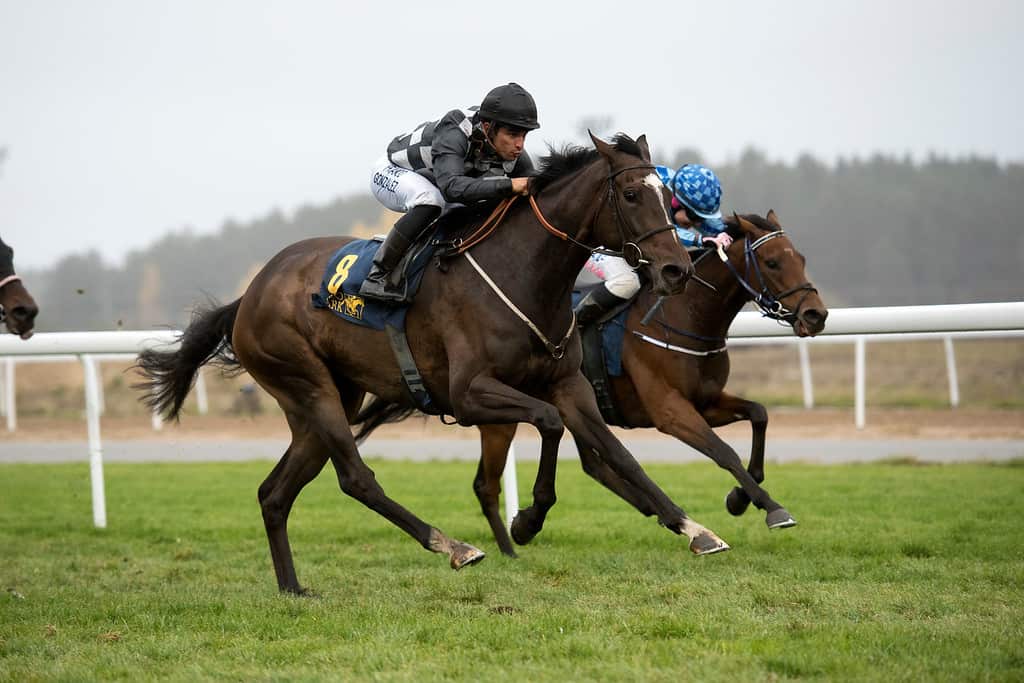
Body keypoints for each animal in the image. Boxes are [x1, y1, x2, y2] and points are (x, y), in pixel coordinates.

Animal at [138, 132, 737, 593]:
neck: (524, 272)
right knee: (355, 479)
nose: (677, 270)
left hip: (326, 401)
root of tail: (251, 293)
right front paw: (527, 521)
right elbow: (547, 423)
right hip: (308, 385)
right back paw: (452, 545)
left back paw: (292, 588)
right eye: (633, 193)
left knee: (275, 493)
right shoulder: (470, 394)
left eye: (667, 196)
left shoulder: (569, 384)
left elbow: (619, 454)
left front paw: (695, 528)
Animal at [356, 210, 827, 557]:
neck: (685, 315)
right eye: (772, 262)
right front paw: (771, 508)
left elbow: (759, 414)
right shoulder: (670, 410)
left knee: (594, 463)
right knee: (567, 466)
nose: (816, 315)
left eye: (802, 258)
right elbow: (723, 451)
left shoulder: (706, 400)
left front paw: (739, 498)